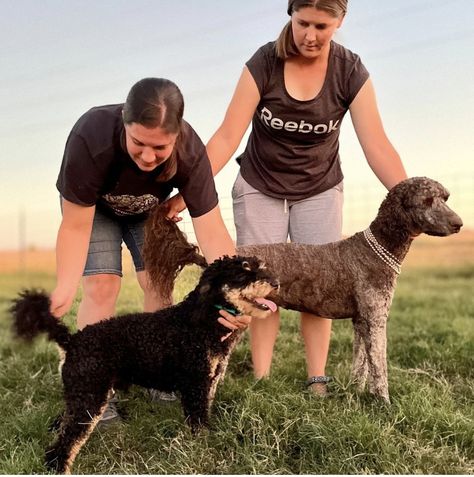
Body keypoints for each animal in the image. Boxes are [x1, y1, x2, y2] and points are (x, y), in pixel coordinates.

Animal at [11, 256, 278, 472]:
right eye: (243, 272)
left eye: (260, 266)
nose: (275, 282)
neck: (202, 321)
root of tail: (72, 340)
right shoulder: (196, 385)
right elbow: (198, 423)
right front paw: (204, 449)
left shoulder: (207, 384)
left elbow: (203, 417)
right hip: (89, 394)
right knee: (65, 443)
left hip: (81, 392)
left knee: (63, 424)